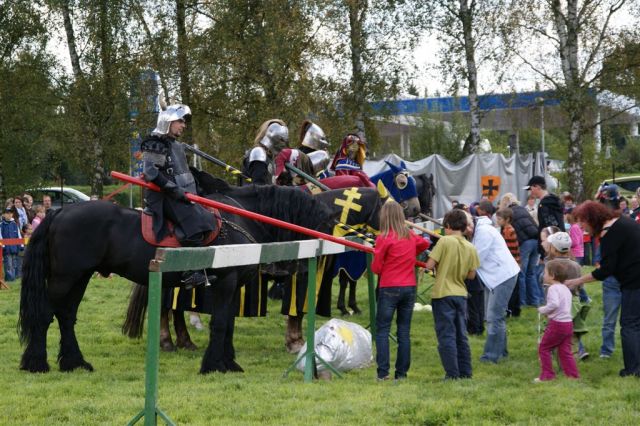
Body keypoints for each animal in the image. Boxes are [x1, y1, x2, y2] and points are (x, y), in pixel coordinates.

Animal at [17, 178, 340, 374]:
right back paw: (36, 363)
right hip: (65, 277)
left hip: (80, 277)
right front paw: (214, 365)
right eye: (324, 223)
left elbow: (228, 324)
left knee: (66, 316)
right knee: (46, 315)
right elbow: (220, 323)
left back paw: (75, 362)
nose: (296, 270)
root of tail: (59, 213)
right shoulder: (226, 282)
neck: (242, 217)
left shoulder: (233, 286)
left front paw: (228, 362)